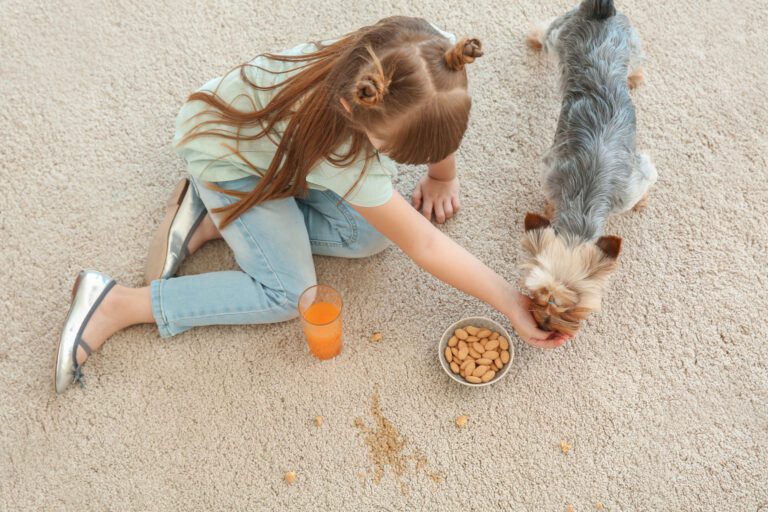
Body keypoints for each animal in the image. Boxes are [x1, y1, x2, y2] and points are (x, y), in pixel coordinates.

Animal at [520, 0, 656, 338]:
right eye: (537, 296)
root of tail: (600, 12)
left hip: (630, 42)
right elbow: (550, 201)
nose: (544, 323)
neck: (582, 207)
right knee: (546, 31)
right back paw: (534, 38)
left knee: (636, 61)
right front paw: (550, 210)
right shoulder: (550, 173)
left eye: (572, 307)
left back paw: (634, 77)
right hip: (559, 37)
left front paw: (644, 202)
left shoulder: (637, 179)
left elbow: (644, 185)